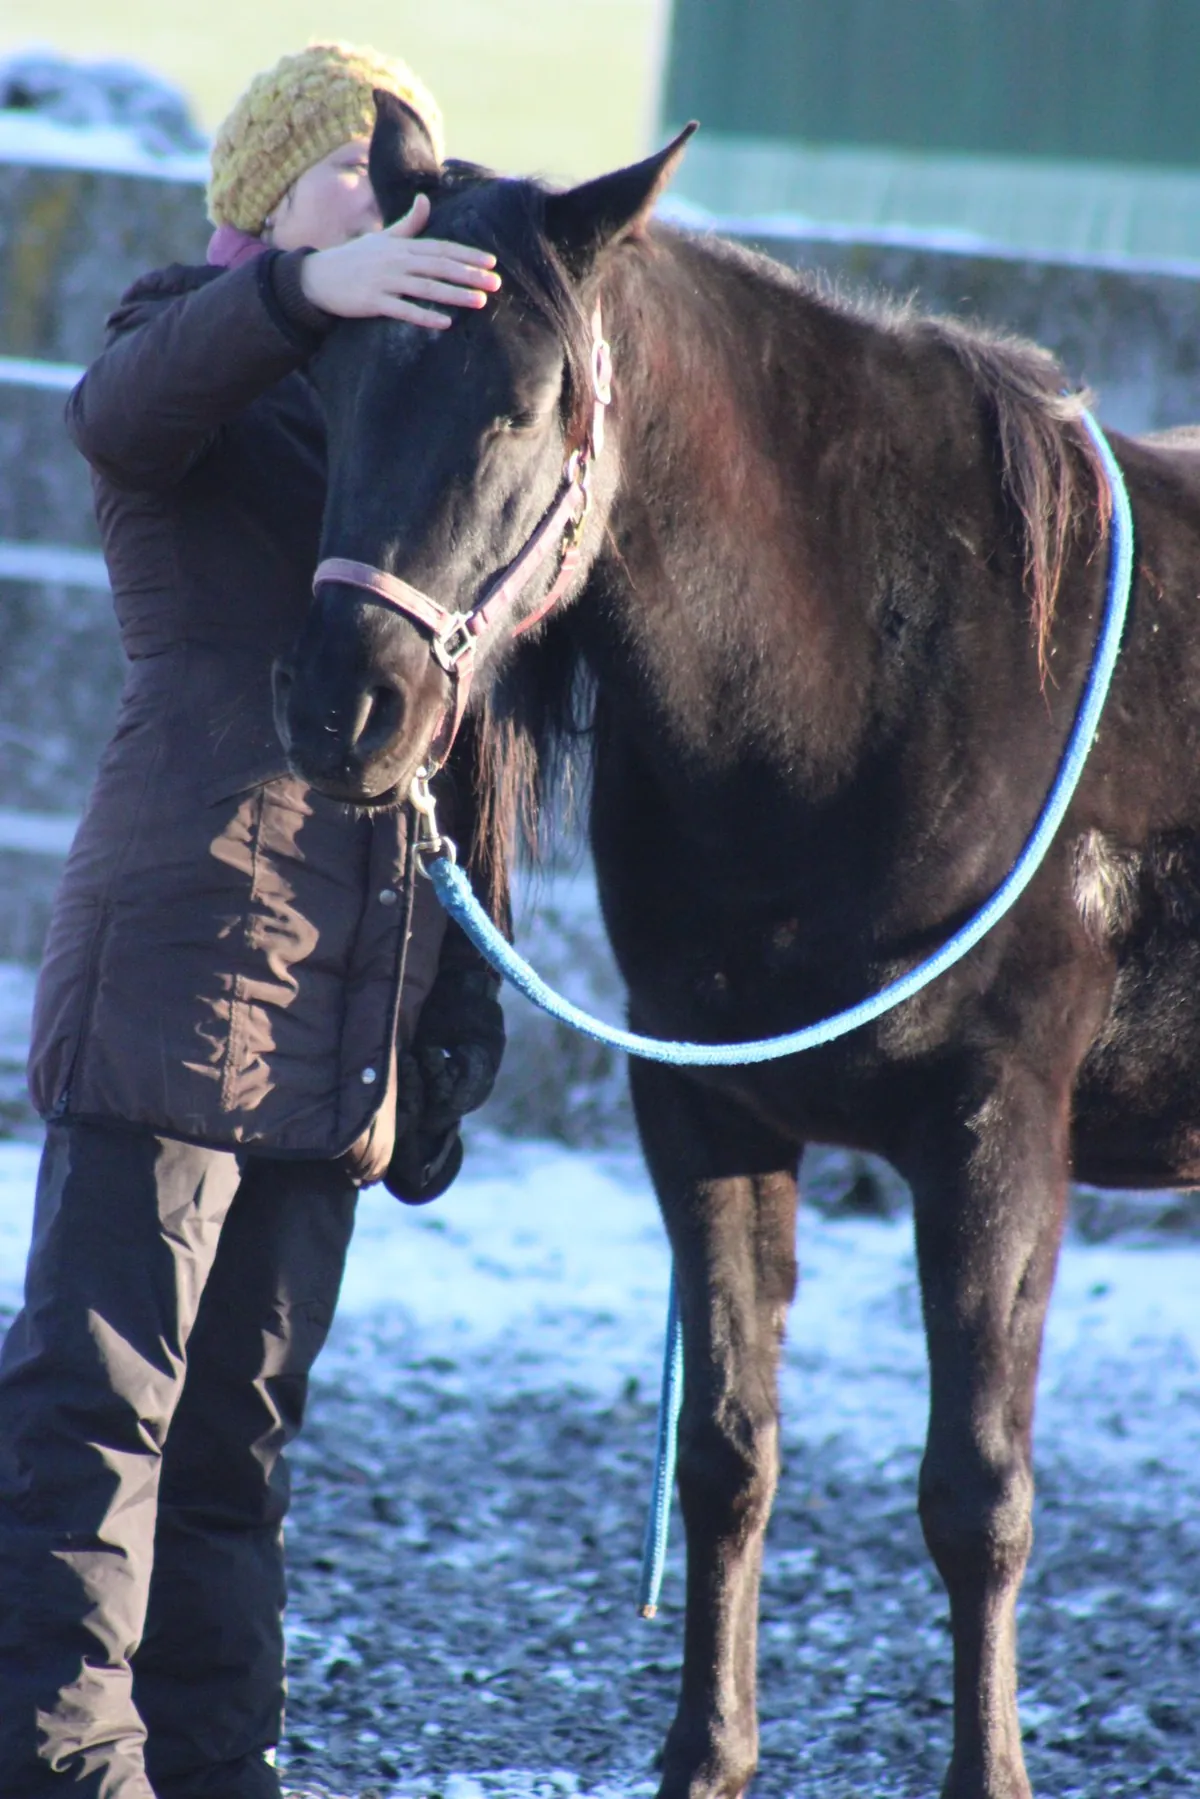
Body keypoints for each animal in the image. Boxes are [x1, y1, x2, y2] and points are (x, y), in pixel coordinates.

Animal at [275, 95, 1200, 1799]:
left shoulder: (994, 1133)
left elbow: (977, 1491)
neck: (887, 670)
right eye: (339, 372)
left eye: (528, 402)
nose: (342, 704)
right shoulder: (706, 1108)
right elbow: (727, 1448)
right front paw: (705, 1752)